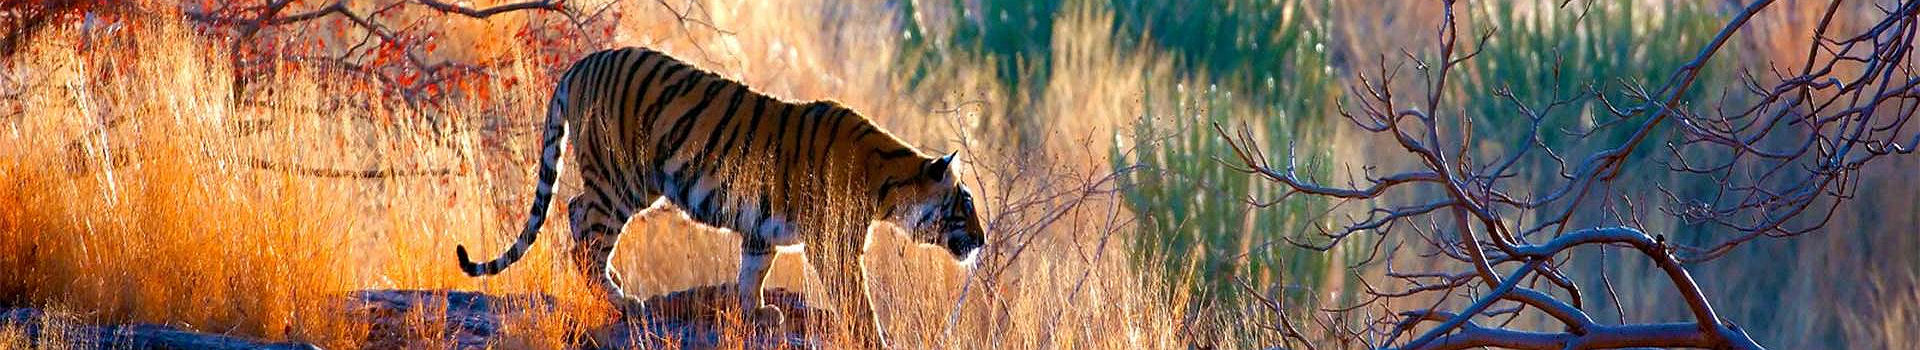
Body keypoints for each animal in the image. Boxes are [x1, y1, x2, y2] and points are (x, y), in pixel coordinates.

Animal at [455, 47, 983, 348]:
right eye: (965, 207)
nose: (981, 240)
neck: (889, 185)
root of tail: (582, 64)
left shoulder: (761, 232)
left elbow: (752, 273)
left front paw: (757, 314)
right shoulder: (835, 248)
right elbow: (858, 300)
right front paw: (874, 337)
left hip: (621, 182)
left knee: (573, 212)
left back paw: (615, 284)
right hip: (621, 180)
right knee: (584, 232)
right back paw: (623, 300)